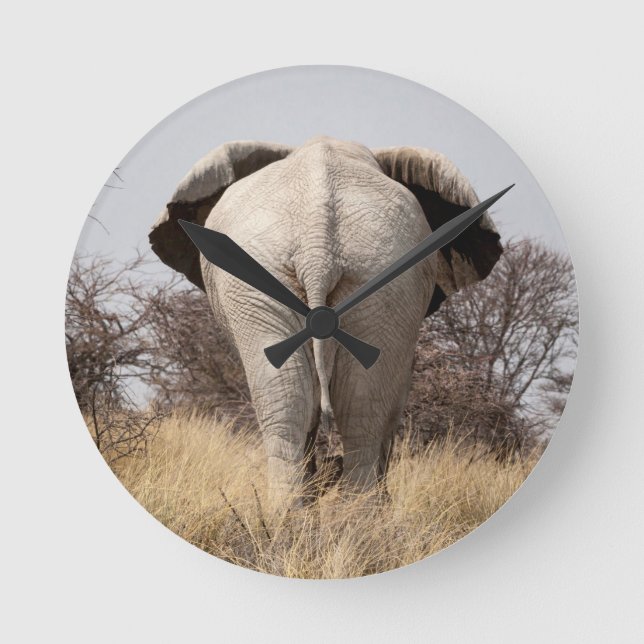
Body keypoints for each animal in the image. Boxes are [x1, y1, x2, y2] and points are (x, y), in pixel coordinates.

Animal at [150, 136, 502, 513]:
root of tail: (318, 244)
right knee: (330, 402)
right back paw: (331, 516)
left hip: (374, 279)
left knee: (338, 401)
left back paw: (322, 516)